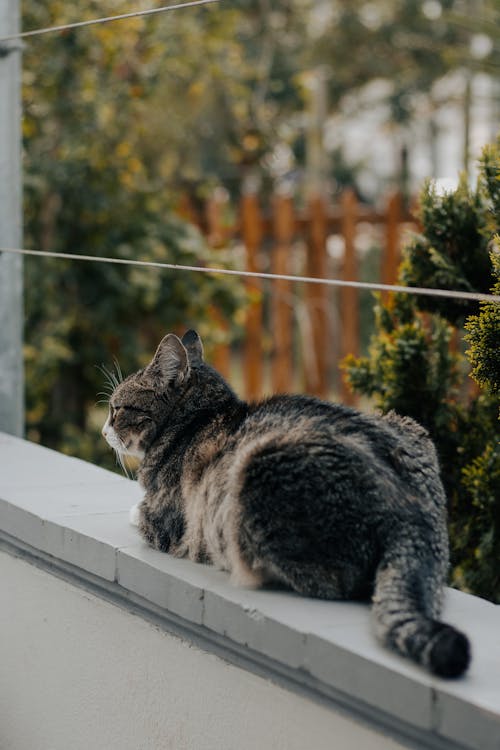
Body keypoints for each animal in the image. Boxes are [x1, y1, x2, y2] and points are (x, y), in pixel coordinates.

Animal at [103, 332, 470, 680]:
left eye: (117, 409)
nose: (104, 429)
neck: (199, 419)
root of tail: (417, 513)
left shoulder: (162, 519)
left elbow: (141, 512)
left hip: (257, 472)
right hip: (407, 425)